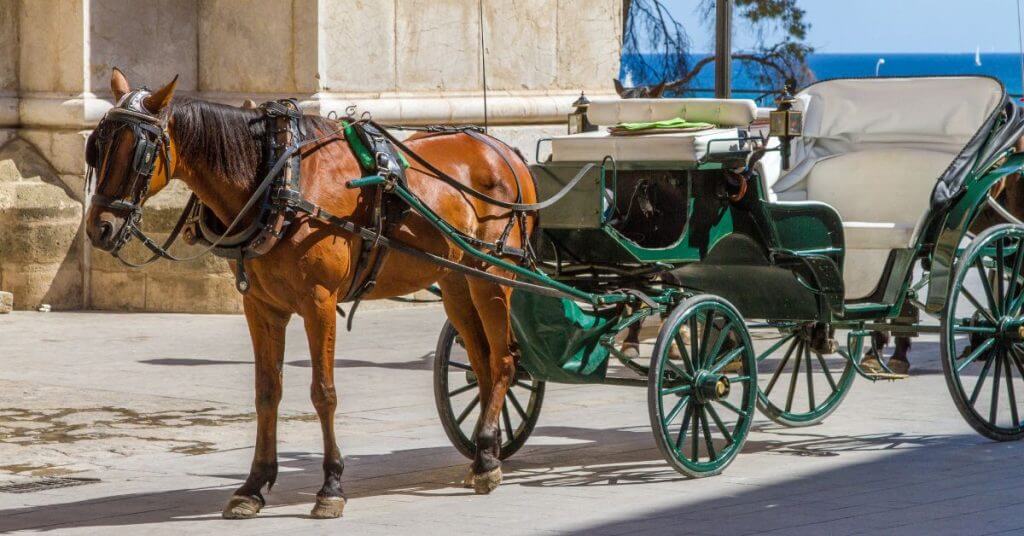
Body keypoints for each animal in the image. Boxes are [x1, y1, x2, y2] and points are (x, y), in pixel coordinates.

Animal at [85, 69, 537, 519]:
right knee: (480, 362)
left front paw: (331, 485)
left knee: (502, 361)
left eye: (140, 153)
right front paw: (254, 485)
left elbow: (323, 393)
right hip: (457, 279)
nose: (99, 229)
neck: (277, 179)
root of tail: (505, 150)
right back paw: (486, 454)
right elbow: (267, 391)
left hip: (494, 273)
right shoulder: (261, 306)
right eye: (96, 149)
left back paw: (486, 455)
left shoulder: (319, 301)